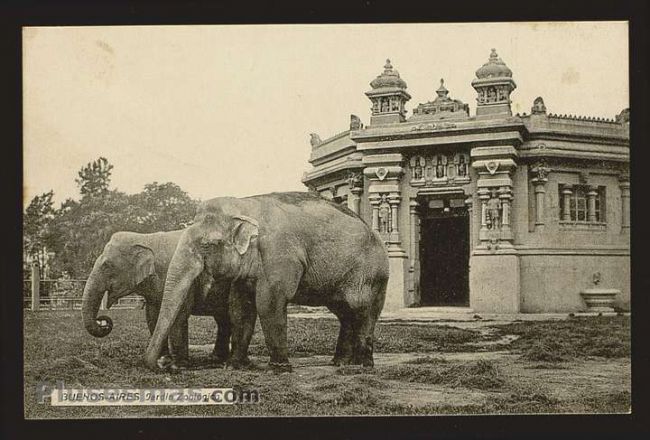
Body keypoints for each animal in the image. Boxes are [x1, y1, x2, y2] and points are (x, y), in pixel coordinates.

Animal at [81, 230, 232, 368]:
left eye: (107, 266)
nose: (102, 321)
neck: (146, 237)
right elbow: (152, 316)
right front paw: (164, 359)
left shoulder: (182, 278)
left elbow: (179, 316)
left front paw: (179, 364)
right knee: (223, 321)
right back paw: (217, 359)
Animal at [144, 192, 388, 372]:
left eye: (208, 244)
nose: (166, 366)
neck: (245, 205)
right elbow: (240, 308)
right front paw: (234, 366)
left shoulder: (278, 254)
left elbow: (268, 303)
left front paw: (278, 369)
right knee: (345, 312)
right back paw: (340, 363)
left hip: (372, 275)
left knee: (363, 310)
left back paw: (362, 366)